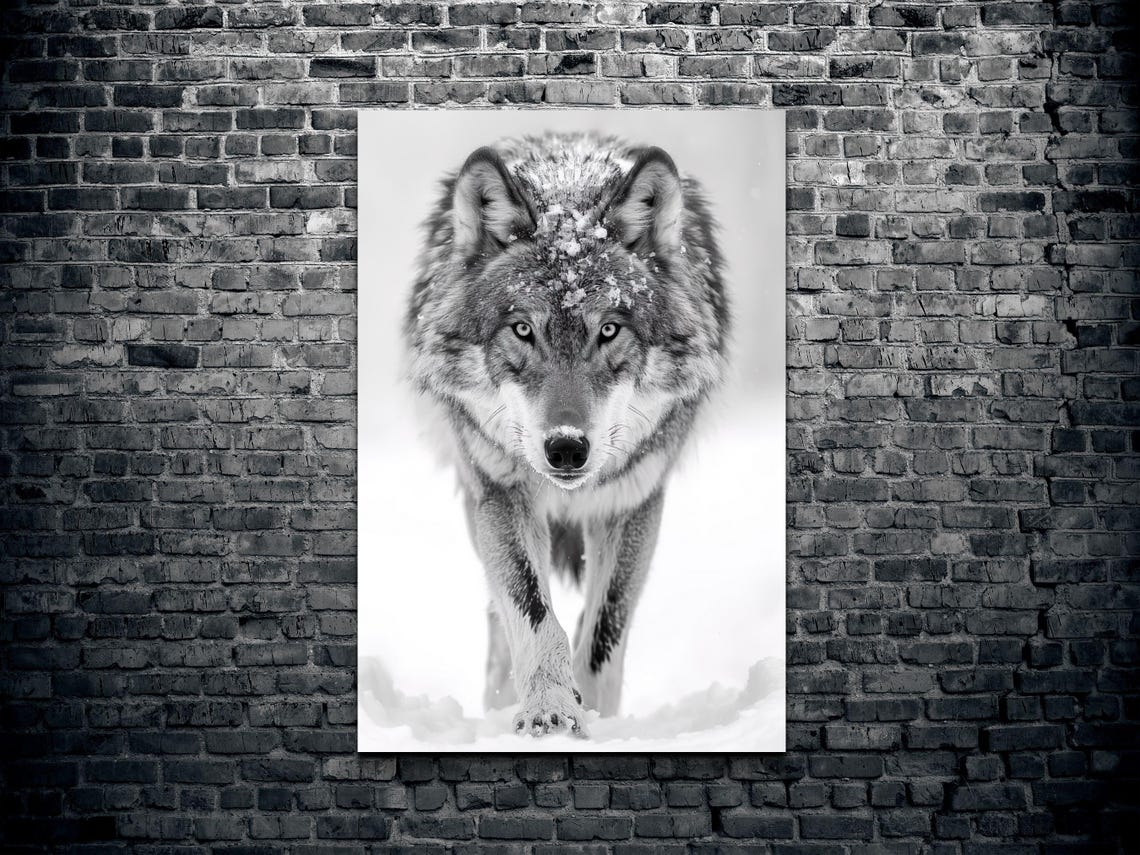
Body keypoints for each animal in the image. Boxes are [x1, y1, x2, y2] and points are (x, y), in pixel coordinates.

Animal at [404, 133, 729, 737]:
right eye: (522, 329)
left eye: (609, 330)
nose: (566, 448)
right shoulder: (499, 492)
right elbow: (532, 613)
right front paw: (549, 710)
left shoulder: (633, 502)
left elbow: (604, 629)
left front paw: (594, 714)